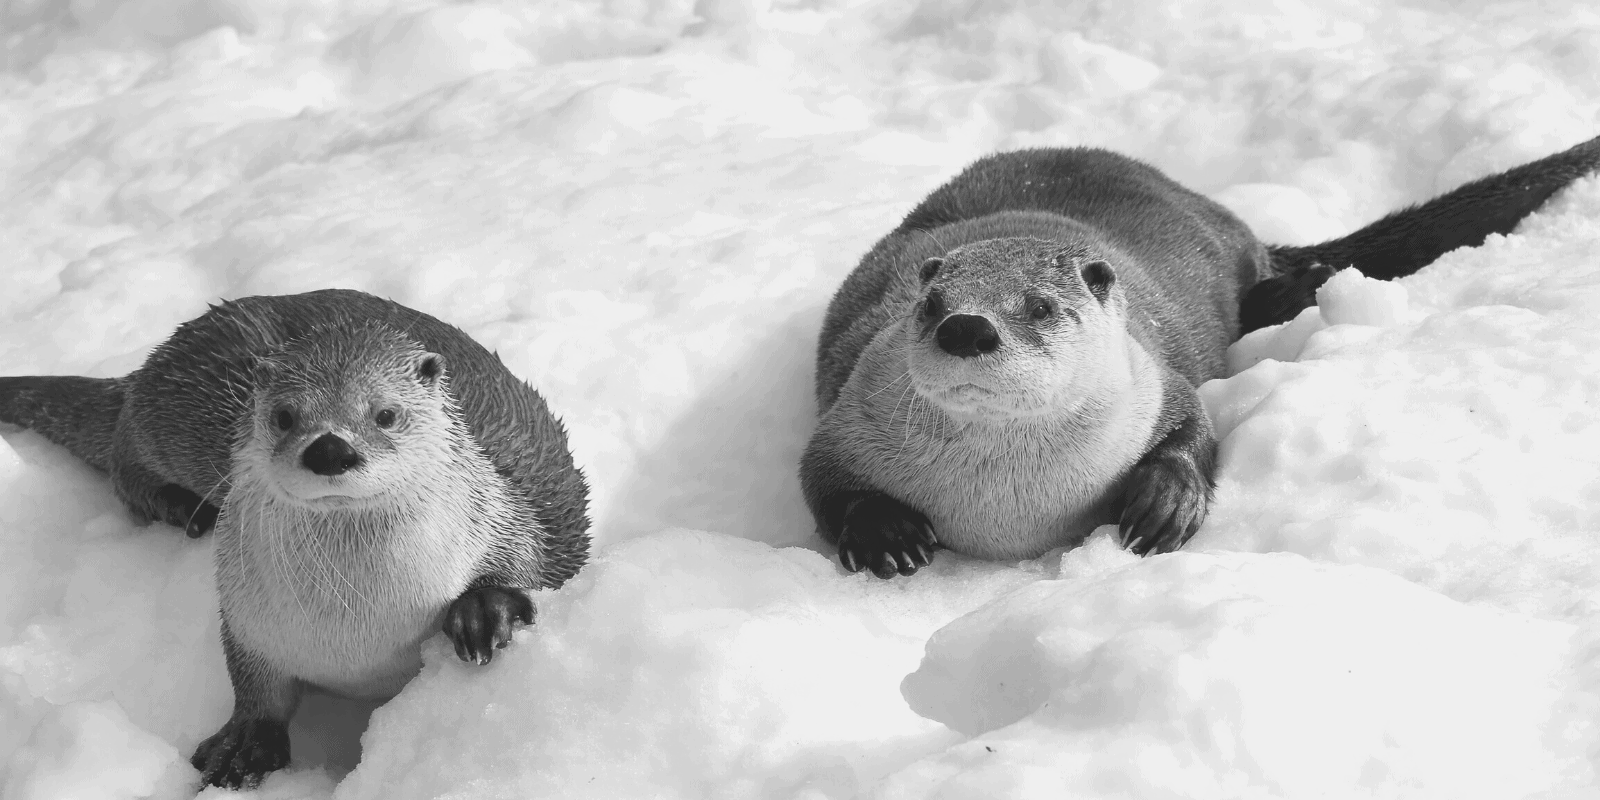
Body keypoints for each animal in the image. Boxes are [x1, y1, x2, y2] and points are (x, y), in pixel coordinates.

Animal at [0, 289, 590, 789]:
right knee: (126, 456)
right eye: (284, 416)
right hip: (170, 410)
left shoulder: (509, 517)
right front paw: (241, 744)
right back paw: (184, 508)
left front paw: (484, 610)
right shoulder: (247, 620)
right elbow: (257, 688)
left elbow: (529, 558)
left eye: (386, 414)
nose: (330, 448)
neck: (354, 626)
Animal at [802, 137, 1600, 578]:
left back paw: (1300, 287)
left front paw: (1163, 505)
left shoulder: (1158, 382)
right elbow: (820, 480)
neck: (1009, 503)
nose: (966, 328)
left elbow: (1196, 431)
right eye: (930, 305)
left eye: (1039, 306)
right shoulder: (844, 417)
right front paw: (885, 535)